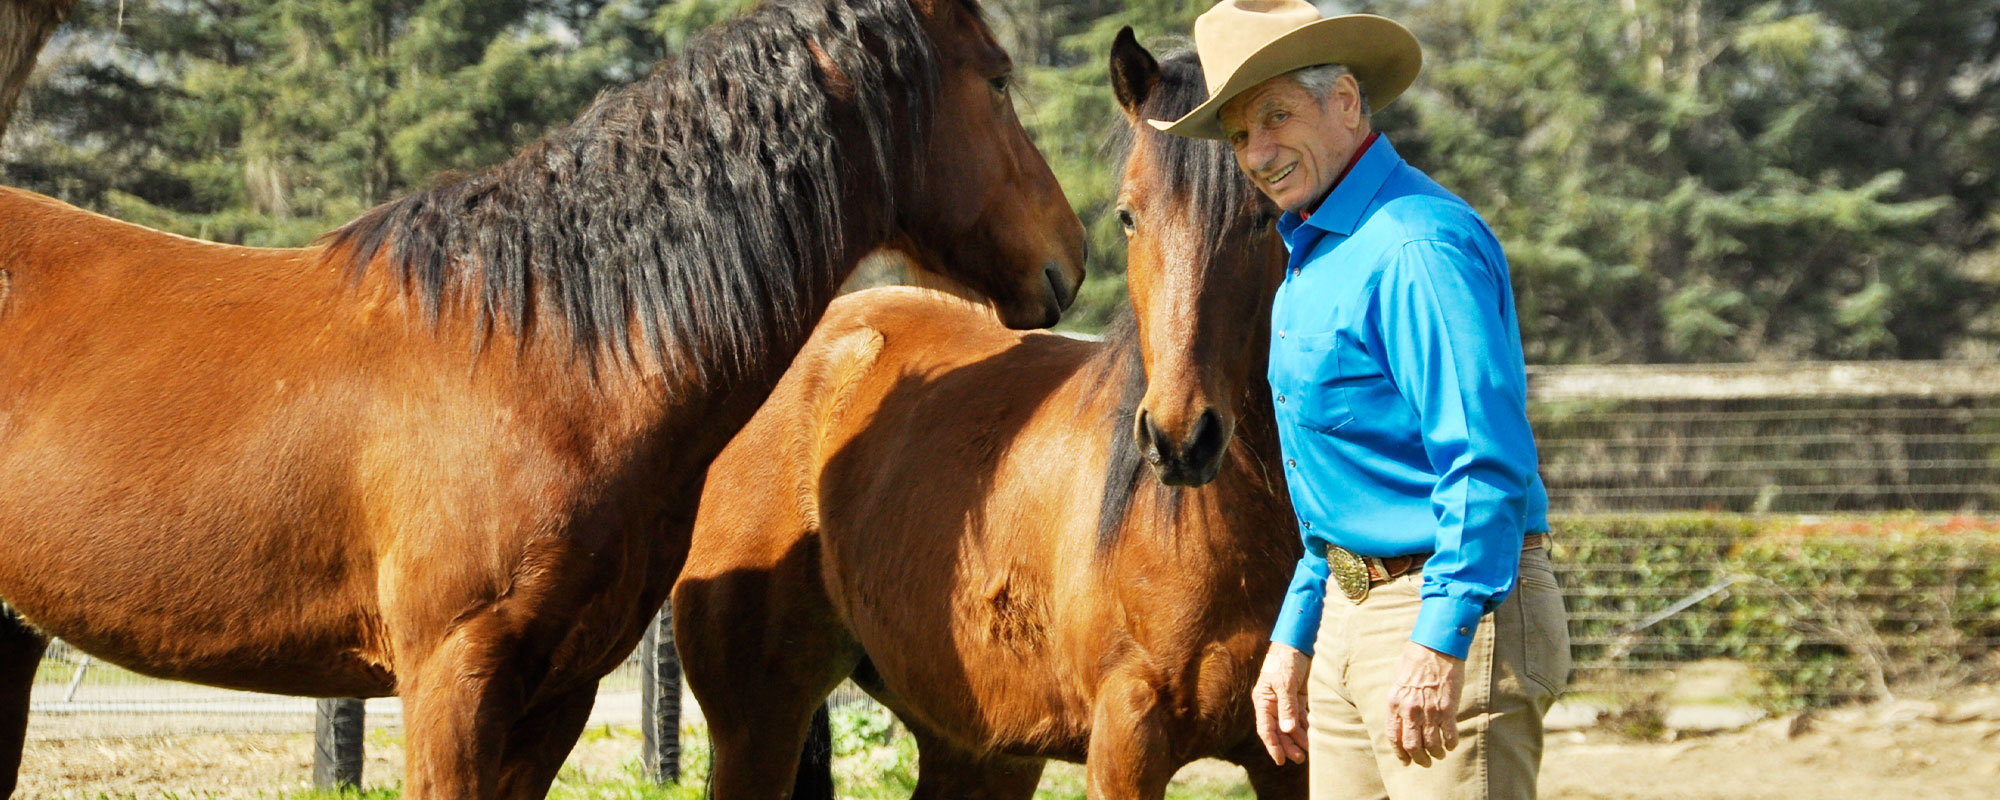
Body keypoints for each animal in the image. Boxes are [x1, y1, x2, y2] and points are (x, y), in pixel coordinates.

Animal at [672, 34, 1296, 796]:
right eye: (1128, 215)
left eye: (1266, 211)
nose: (1180, 439)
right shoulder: (1127, 742)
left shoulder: (1288, 752)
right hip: (757, 724)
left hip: (979, 749)